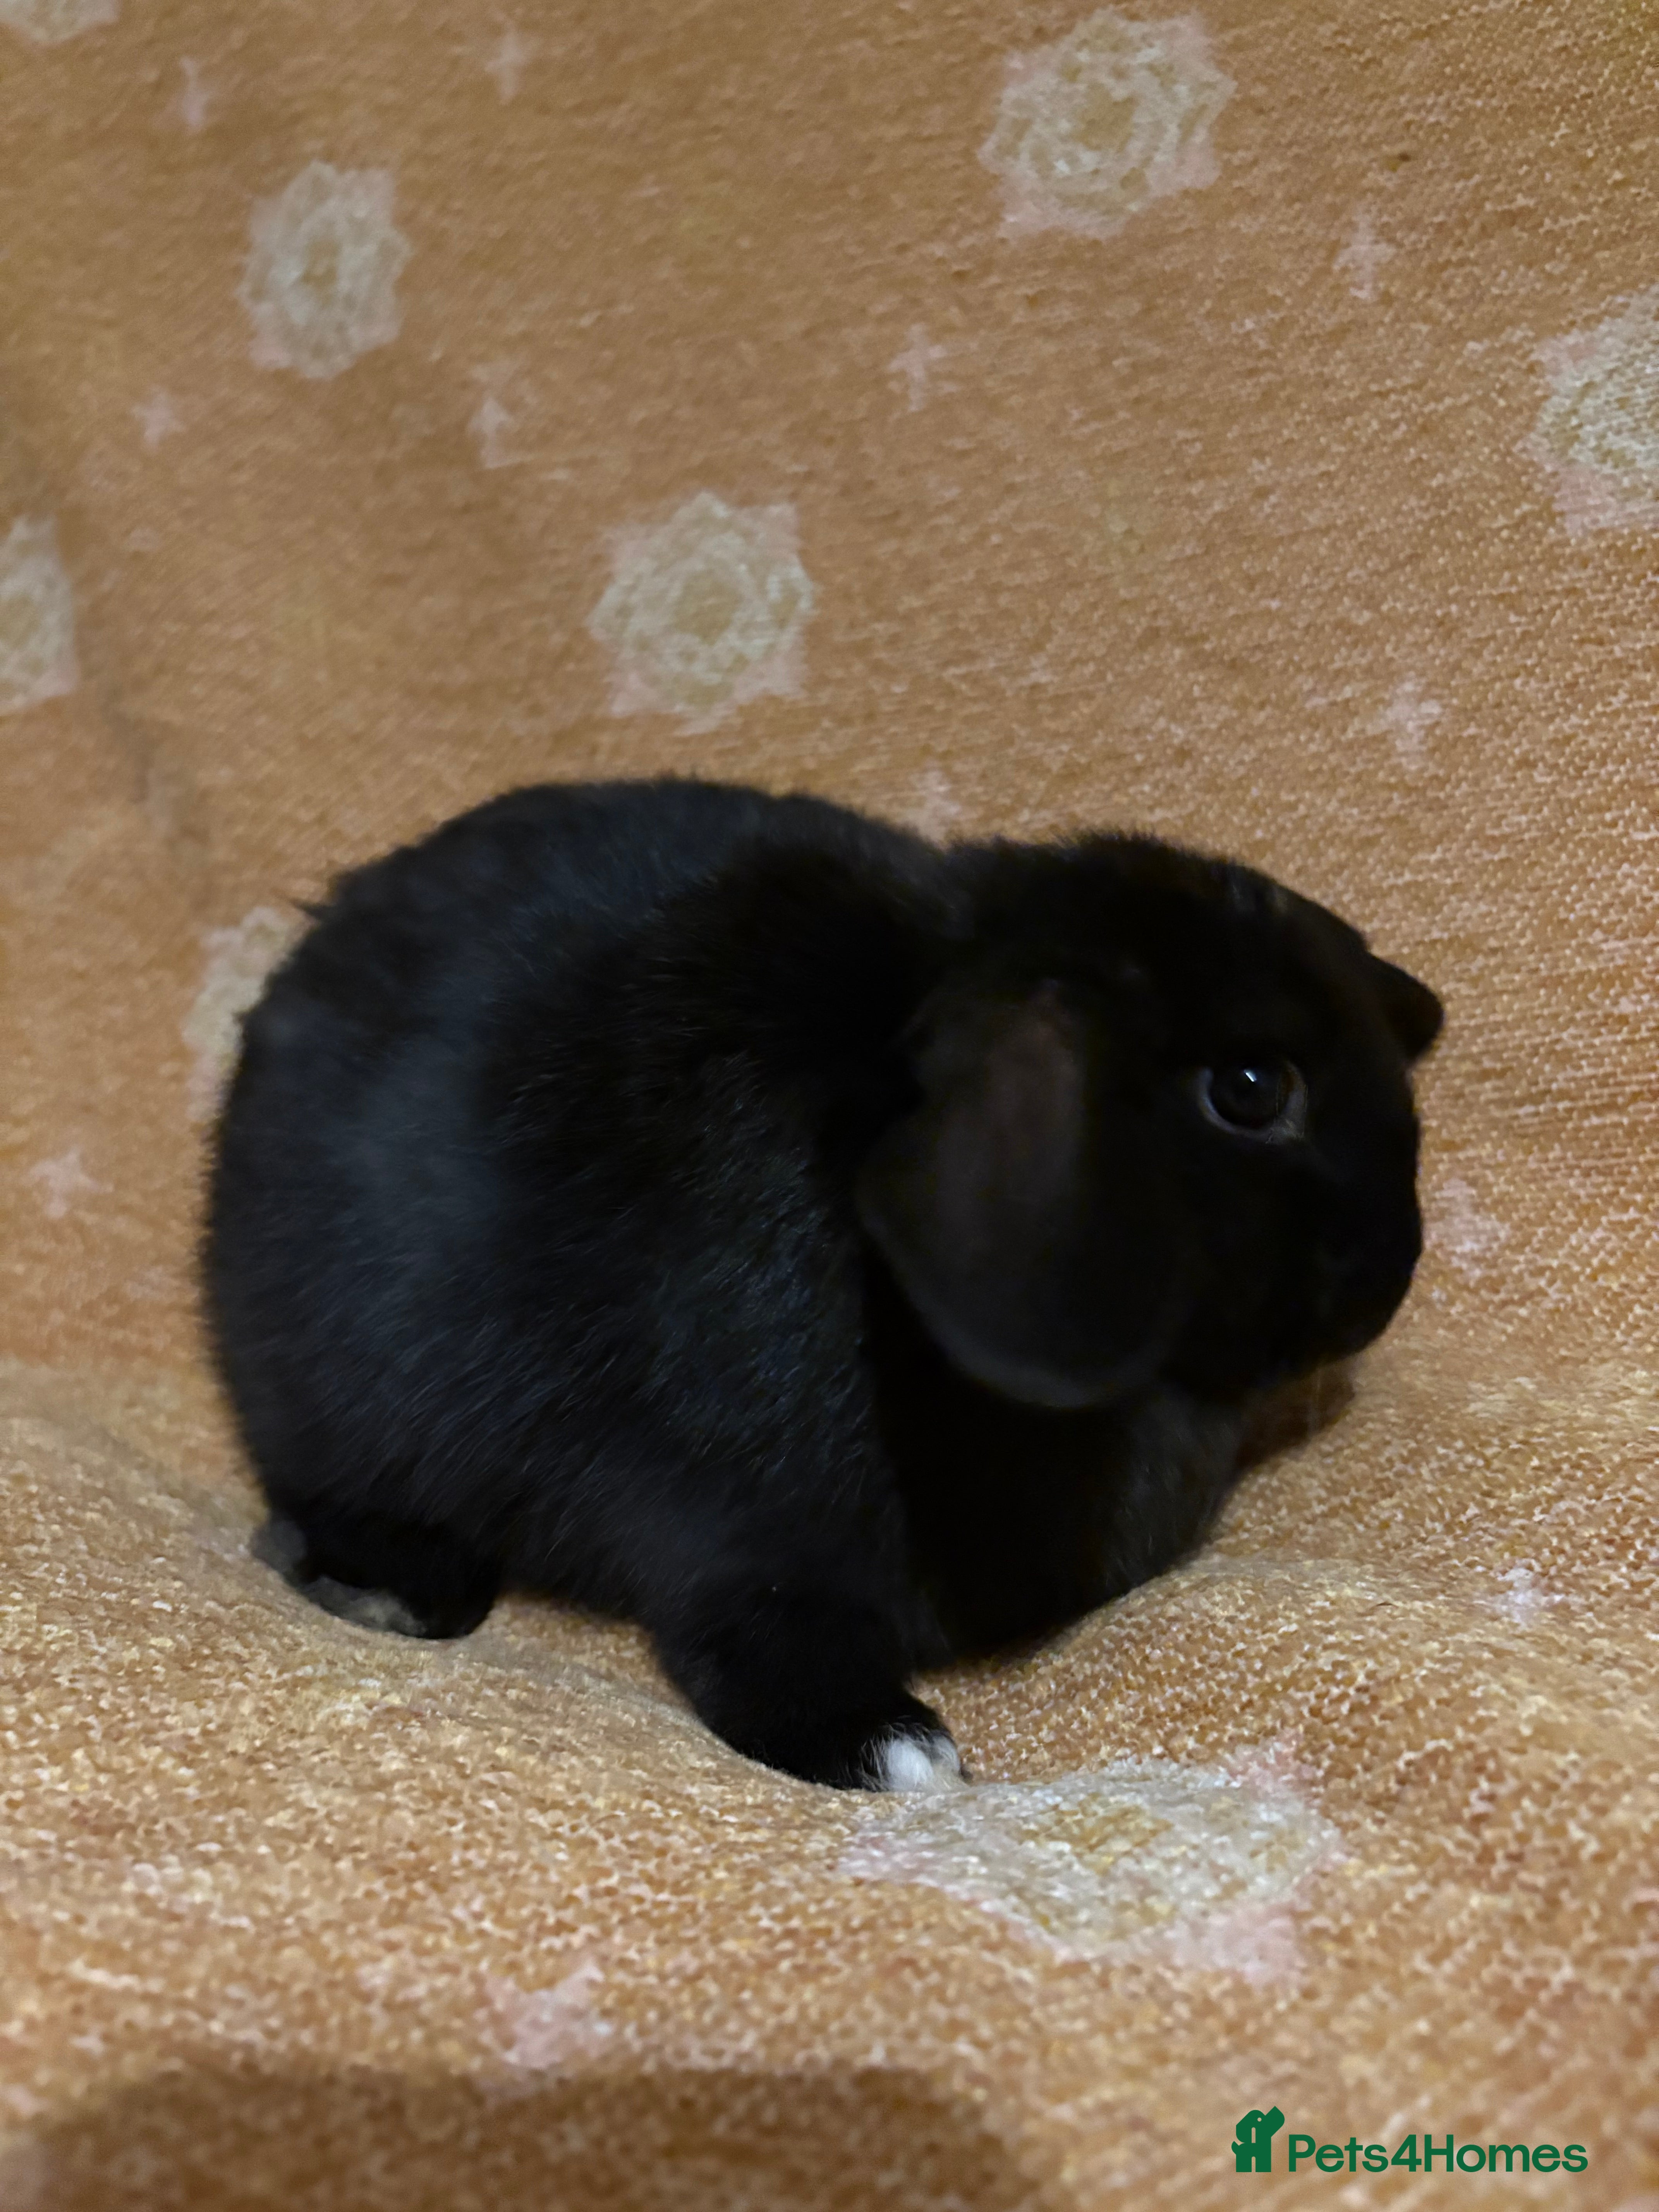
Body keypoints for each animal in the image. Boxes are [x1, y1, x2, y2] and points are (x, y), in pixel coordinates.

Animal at [204, 776, 1442, 1791]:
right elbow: (756, 1643)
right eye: (1250, 1087)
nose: (1385, 1286)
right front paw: (893, 1749)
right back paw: (379, 1584)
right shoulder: (735, 1534)